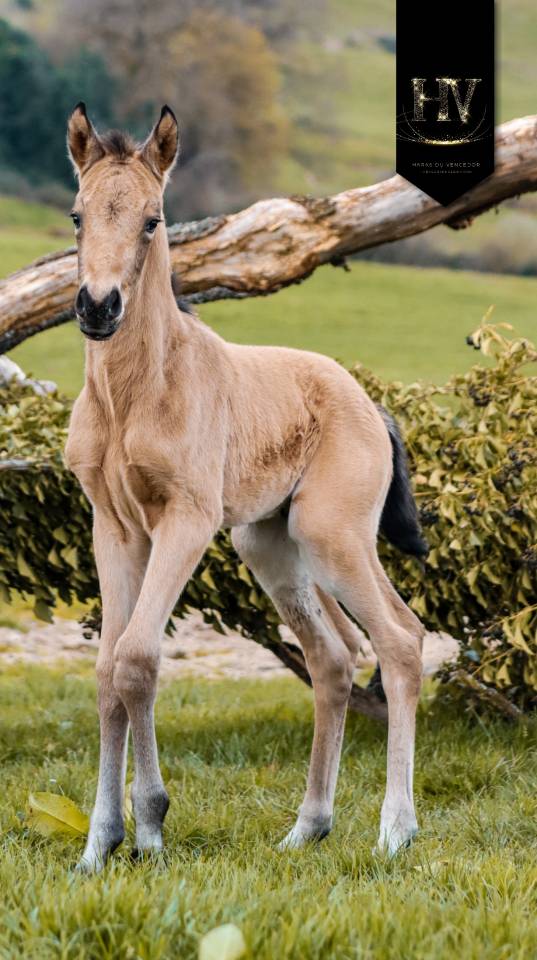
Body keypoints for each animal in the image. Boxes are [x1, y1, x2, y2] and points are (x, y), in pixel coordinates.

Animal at [65, 102, 427, 872]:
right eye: (78, 215)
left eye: (153, 220)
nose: (97, 308)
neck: (132, 395)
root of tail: (372, 406)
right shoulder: (114, 525)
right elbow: (108, 670)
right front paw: (97, 844)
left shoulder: (187, 519)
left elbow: (138, 658)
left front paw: (150, 828)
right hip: (270, 546)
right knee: (333, 659)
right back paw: (307, 827)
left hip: (331, 535)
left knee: (400, 642)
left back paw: (394, 831)